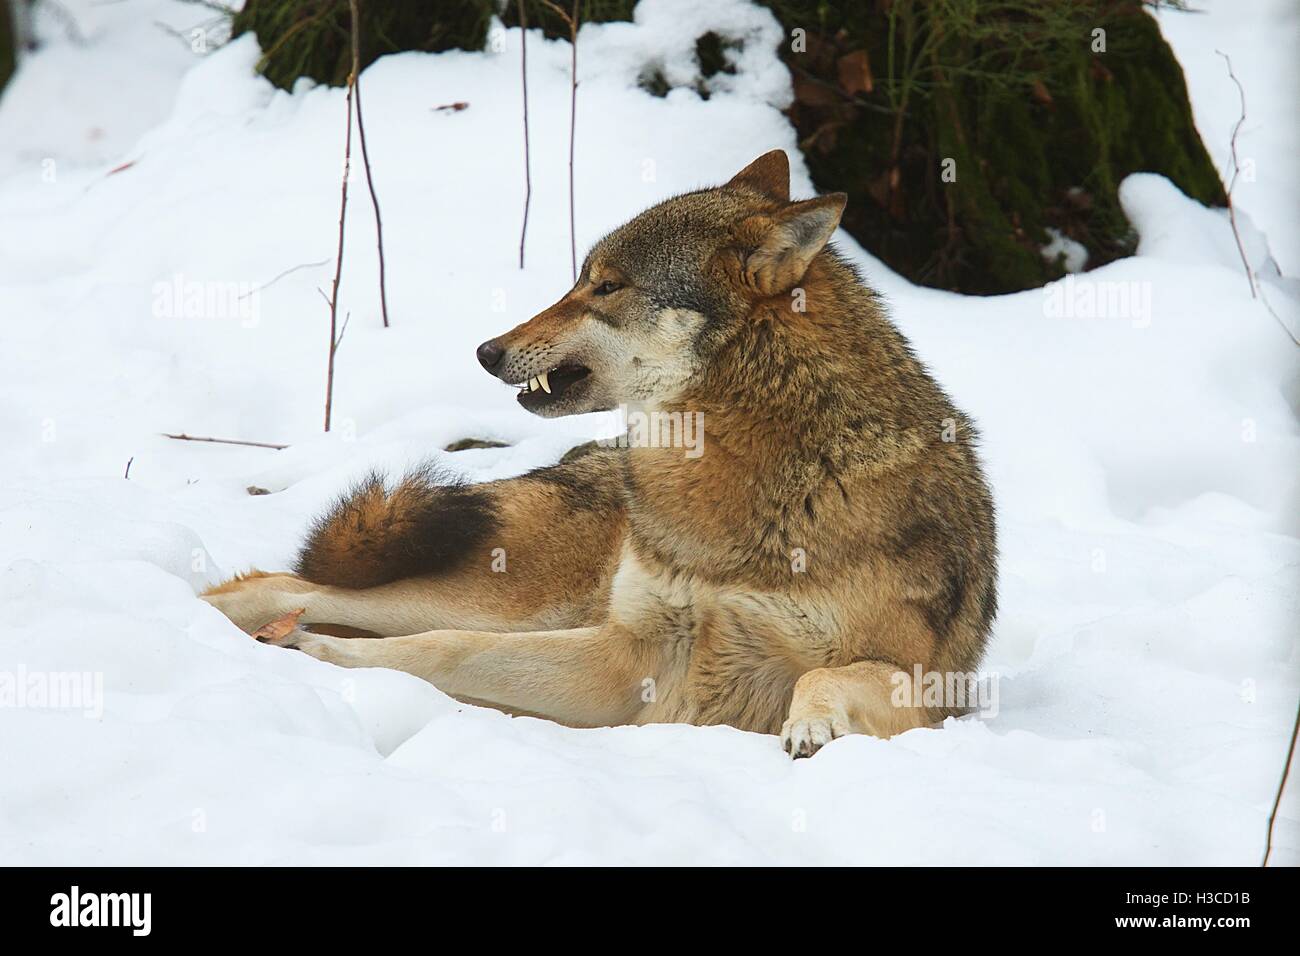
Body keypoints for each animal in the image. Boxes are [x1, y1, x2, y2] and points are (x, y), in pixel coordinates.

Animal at [202, 150, 998, 757]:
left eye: (608, 286)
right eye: (580, 277)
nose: (486, 352)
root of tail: (593, 456)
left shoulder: (926, 689)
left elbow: (823, 677)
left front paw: (810, 725)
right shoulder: (635, 651)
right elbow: (445, 648)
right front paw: (330, 663)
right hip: (521, 599)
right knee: (300, 585)